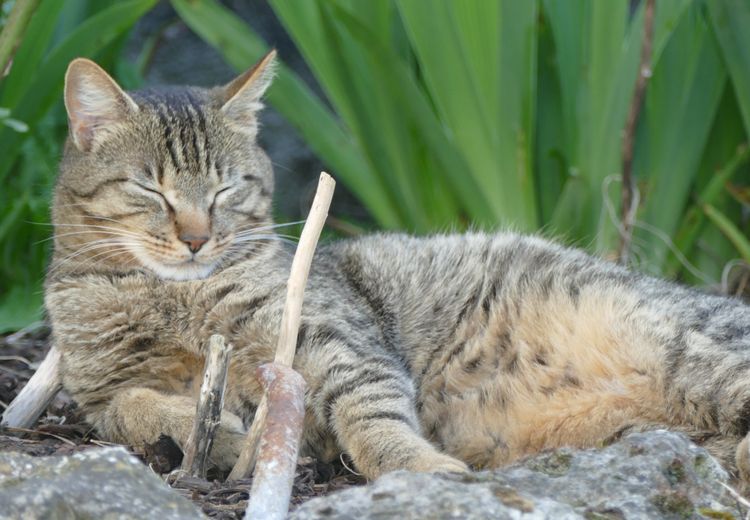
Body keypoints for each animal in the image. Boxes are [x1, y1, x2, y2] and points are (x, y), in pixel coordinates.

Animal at [44, 50, 750, 482]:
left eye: (225, 190)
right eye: (152, 189)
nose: (196, 238)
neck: (174, 298)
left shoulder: (334, 341)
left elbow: (372, 410)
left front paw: (422, 469)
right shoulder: (97, 391)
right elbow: (133, 407)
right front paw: (208, 436)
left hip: (692, 354)